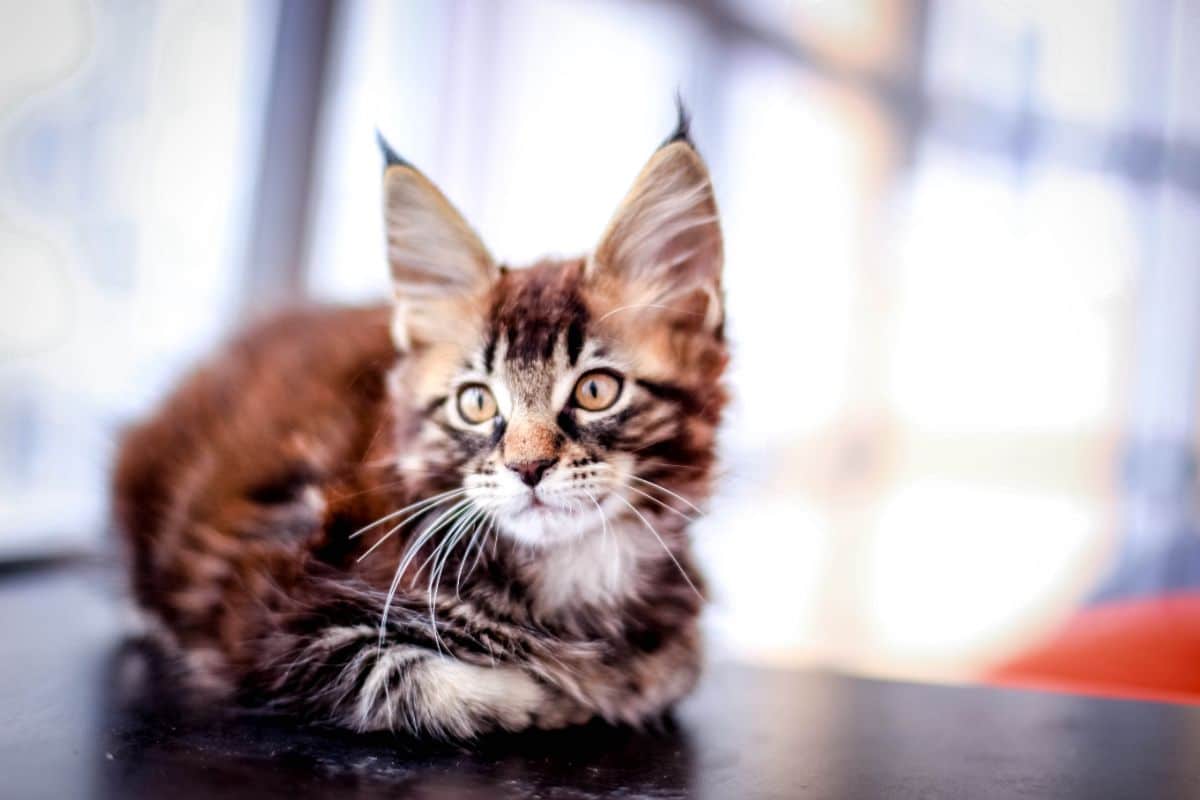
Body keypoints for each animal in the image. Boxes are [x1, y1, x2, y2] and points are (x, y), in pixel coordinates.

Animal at [114, 109, 729, 743]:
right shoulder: (271, 618)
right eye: (476, 402)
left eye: (595, 390)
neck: (574, 574)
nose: (528, 467)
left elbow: (677, 664)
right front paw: (561, 694)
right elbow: (426, 680)